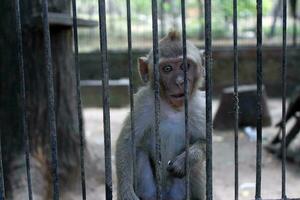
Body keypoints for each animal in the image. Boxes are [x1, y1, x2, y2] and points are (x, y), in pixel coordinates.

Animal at [115, 30, 206, 200]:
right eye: (167, 68)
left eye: (185, 66)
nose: (180, 81)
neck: (173, 108)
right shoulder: (144, 102)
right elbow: (127, 142)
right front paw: (126, 193)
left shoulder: (200, 107)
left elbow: (204, 141)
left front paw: (185, 160)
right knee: (139, 152)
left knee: (196, 168)